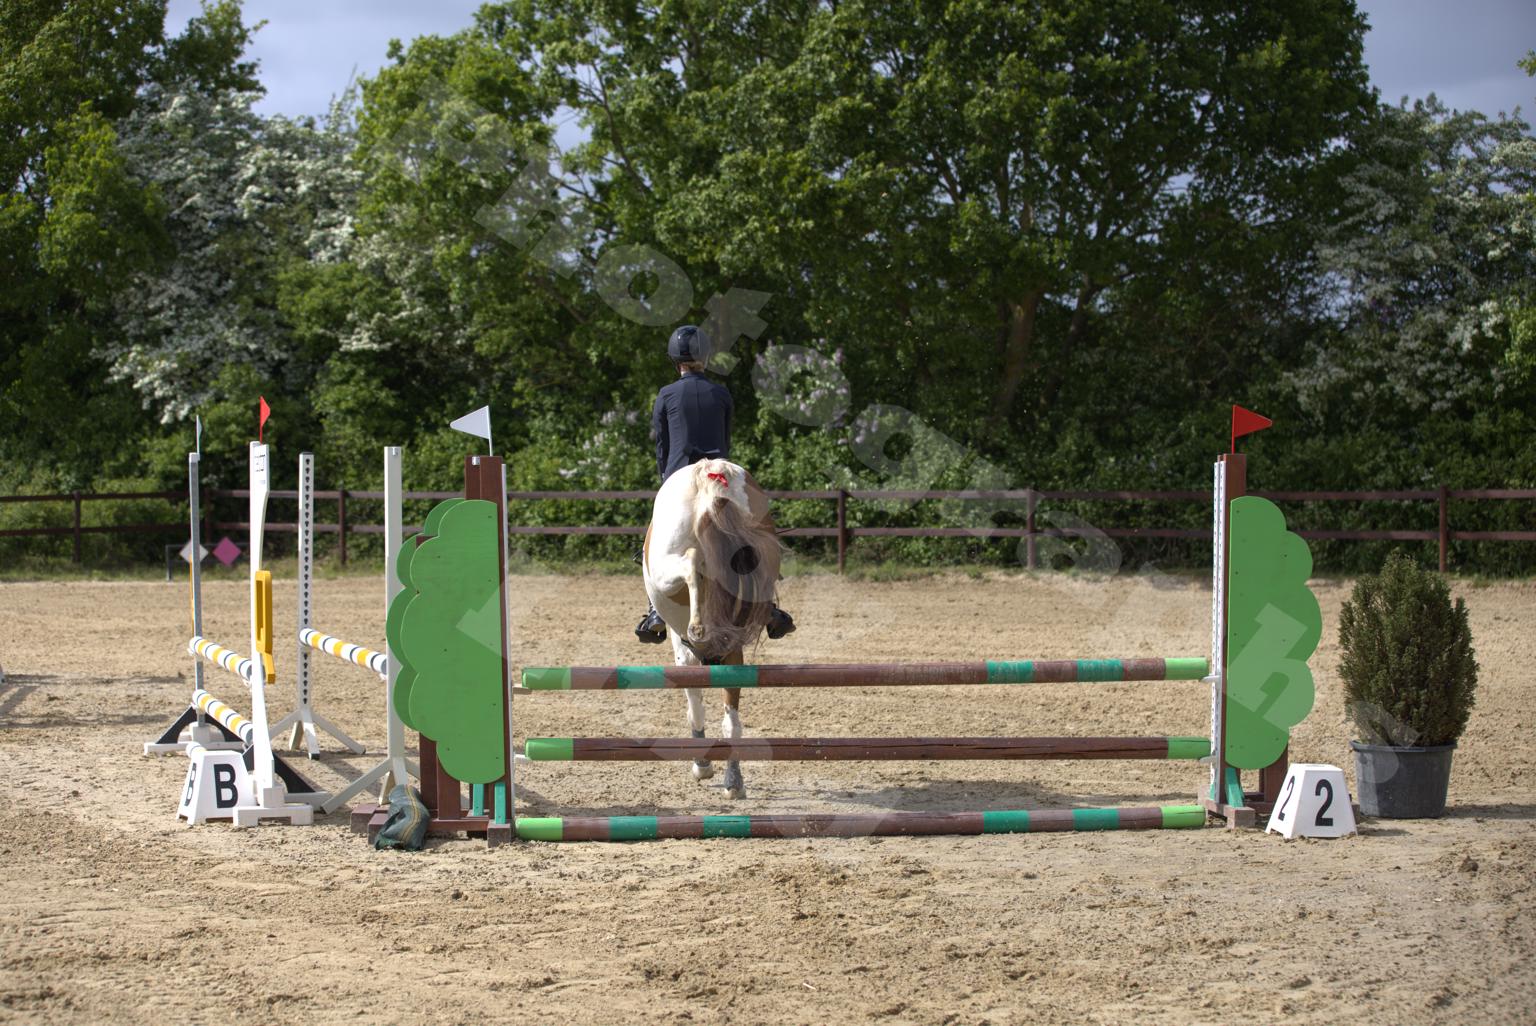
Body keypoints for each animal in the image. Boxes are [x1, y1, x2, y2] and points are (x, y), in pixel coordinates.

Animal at [642, 458, 782, 799]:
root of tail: (710, 470)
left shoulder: (683, 655)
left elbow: (695, 708)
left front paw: (702, 764)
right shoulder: (733, 653)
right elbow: (729, 718)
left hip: (667, 568)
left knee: (691, 563)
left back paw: (698, 626)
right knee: (733, 722)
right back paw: (734, 782)